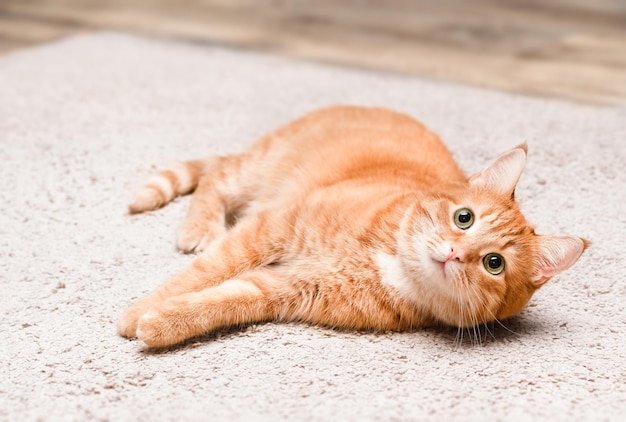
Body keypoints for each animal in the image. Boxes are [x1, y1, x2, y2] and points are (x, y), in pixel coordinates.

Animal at [117, 104, 584, 346]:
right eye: (463, 218)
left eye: (493, 264)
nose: (455, 252)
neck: (388, 260)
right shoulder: (270, 229)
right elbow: (202, 273)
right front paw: (137, 313)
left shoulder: (283, 288)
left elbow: (221, 301)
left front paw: (160, 322)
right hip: (256, 170)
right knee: (217, 174)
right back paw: (199, 227)